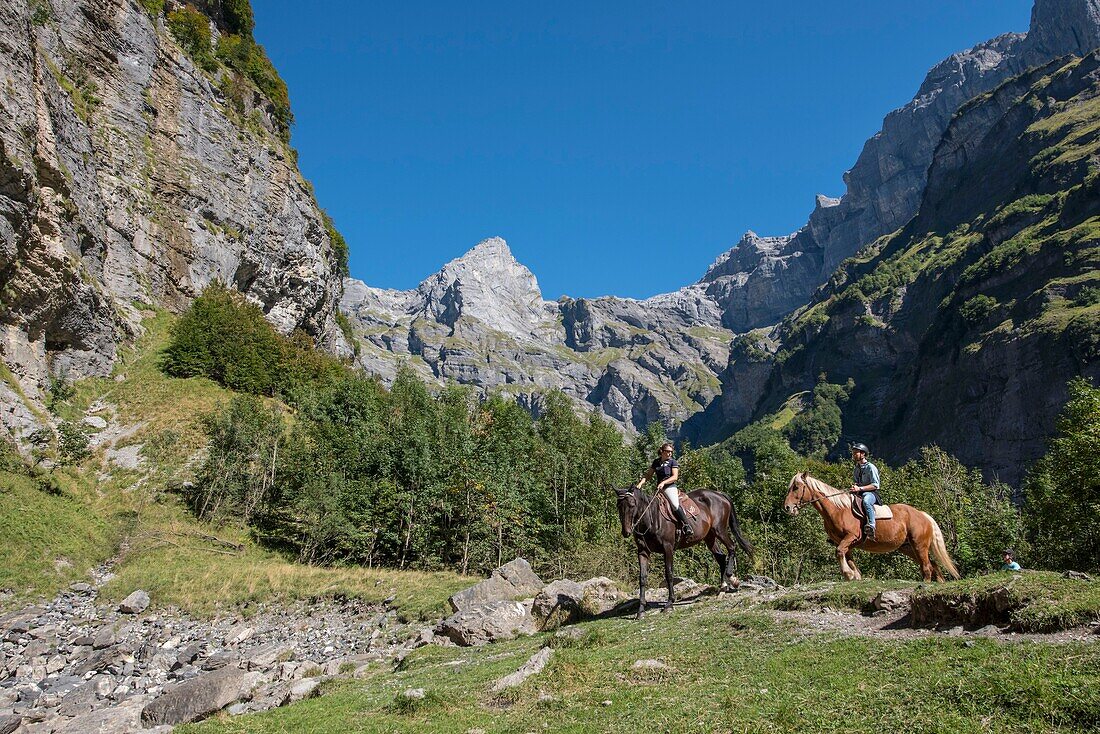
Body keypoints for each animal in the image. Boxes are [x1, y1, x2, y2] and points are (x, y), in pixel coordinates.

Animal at [611, 488, 756, 620]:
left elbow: (669, 574)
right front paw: (640, 611)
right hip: (710, 537)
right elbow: (642, 578)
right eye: (618, 506)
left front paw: (669, 604)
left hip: (719, 530)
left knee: (732, 547)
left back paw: (732, 578)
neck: (652, 519)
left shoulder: (668, 548)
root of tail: (719, 494)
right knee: (721, 557)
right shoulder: (643, 552)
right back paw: (723, 587)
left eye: (632, 505)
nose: (626, 531)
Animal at [783, 473, 954, 581]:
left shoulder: (850, 537)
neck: (838, 510)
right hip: (908, 547)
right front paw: (855, 575)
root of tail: (923, 515)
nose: (787, 508)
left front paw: (848, 574)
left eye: (796, 487)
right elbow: (848, 557)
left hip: (919, 545)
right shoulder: (845, 541)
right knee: (933, 565)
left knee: (926, 567)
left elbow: (839, 552)